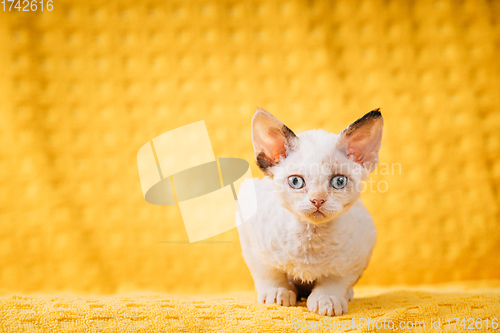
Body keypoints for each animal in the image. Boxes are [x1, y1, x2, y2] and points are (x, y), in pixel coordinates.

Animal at [235, 109, 382, 316]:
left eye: (339, 181)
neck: (310, 236)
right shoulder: (251, 234)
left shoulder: (360, 251)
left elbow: (336, 279)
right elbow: (268, 272)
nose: (317, 200)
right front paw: (276, 293)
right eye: (296, 181)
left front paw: (327, 299)